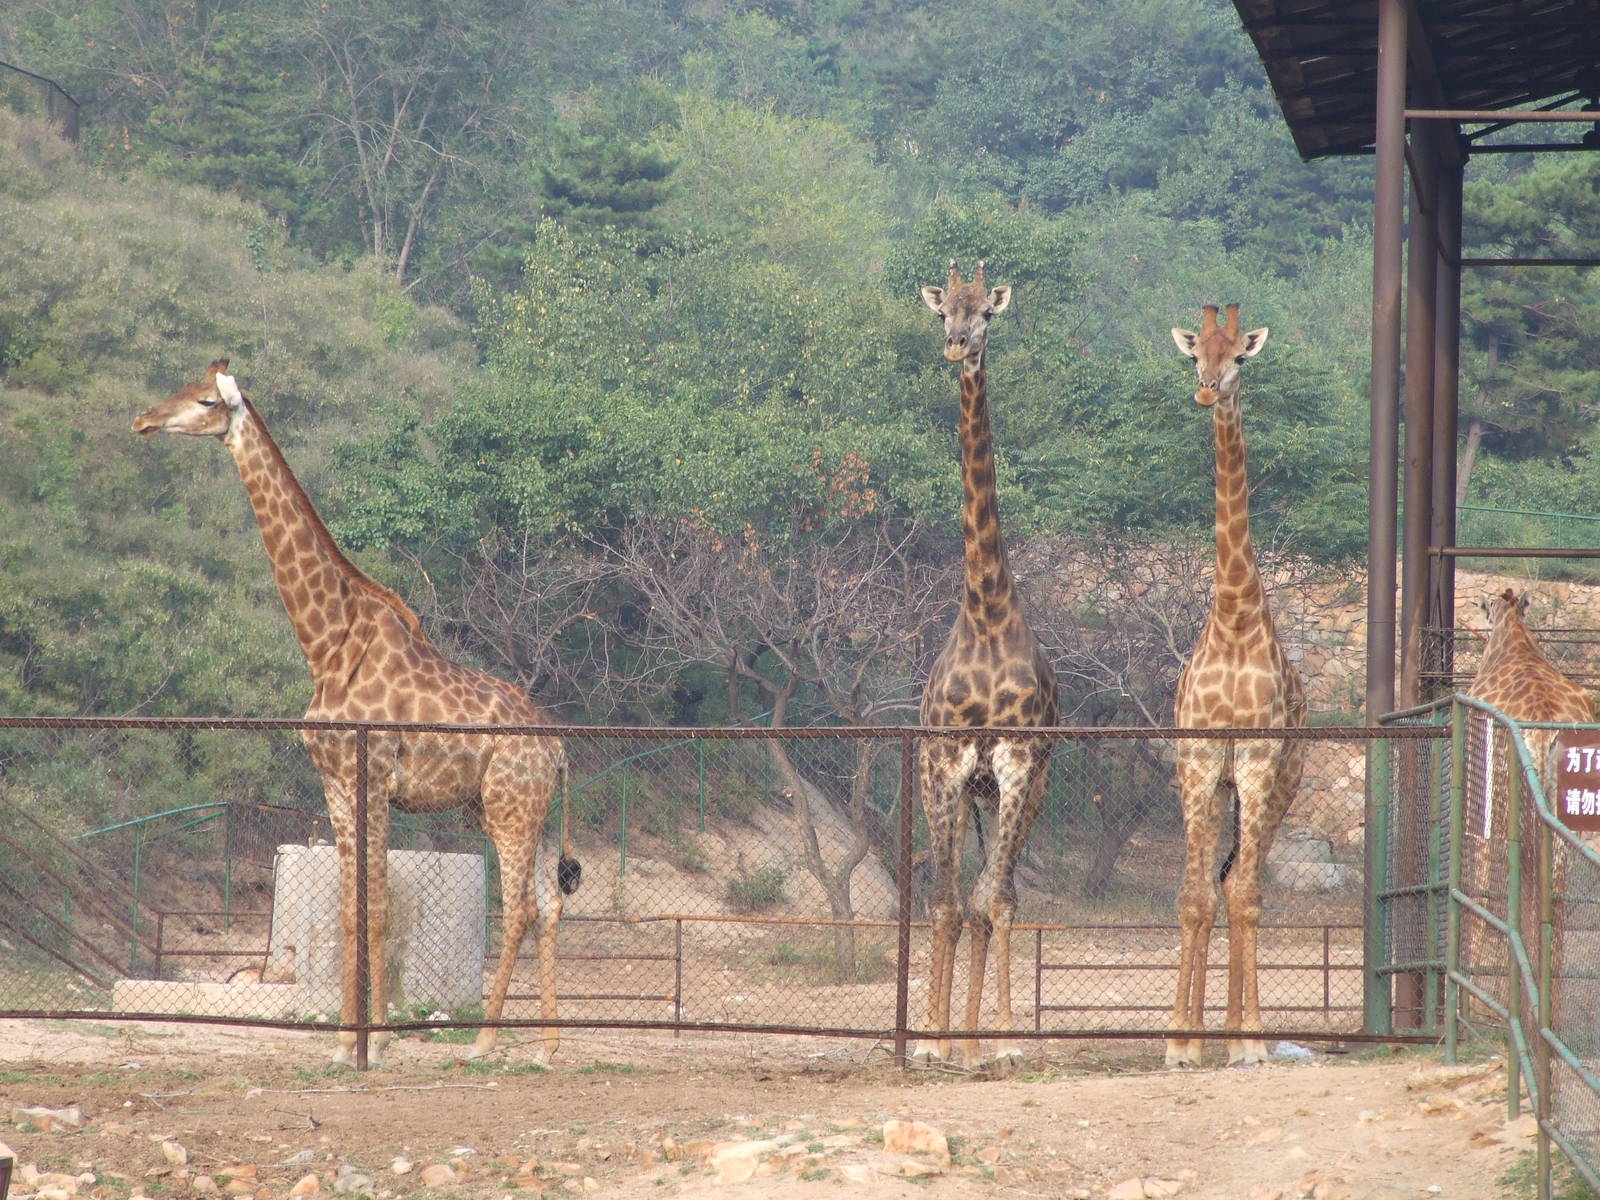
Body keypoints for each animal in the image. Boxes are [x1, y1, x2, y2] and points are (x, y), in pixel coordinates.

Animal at [133, 360, 580, 1068]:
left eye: (204, 400)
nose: (143, 420)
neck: (327, 643)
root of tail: (557, 748)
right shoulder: (337, 782)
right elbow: (349, 912)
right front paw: (346, 1043)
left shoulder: (369, 773)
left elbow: (378, 910)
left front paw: (375, 1042)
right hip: (510, 808)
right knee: (549, 907)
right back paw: (550, 1040)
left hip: (511, 806)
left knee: (519, 910)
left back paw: (485, 1039)